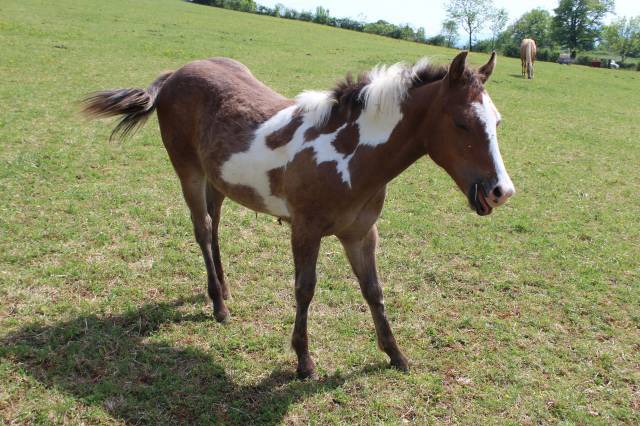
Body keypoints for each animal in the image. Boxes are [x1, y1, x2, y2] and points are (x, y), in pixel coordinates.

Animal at [82, 51, 515, 379]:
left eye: (497, 122)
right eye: (461, 122)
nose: (500, 191)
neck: (349, 154)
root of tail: (175, 73)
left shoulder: (361, 234)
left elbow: (373, 290)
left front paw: (396, 355)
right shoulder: (305, 231)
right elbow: (305, 289)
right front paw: (304, 362)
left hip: (216, 178)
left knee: (215, 224)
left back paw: (224, 289)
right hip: (187, 169)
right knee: (202, 229)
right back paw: (219, 306)